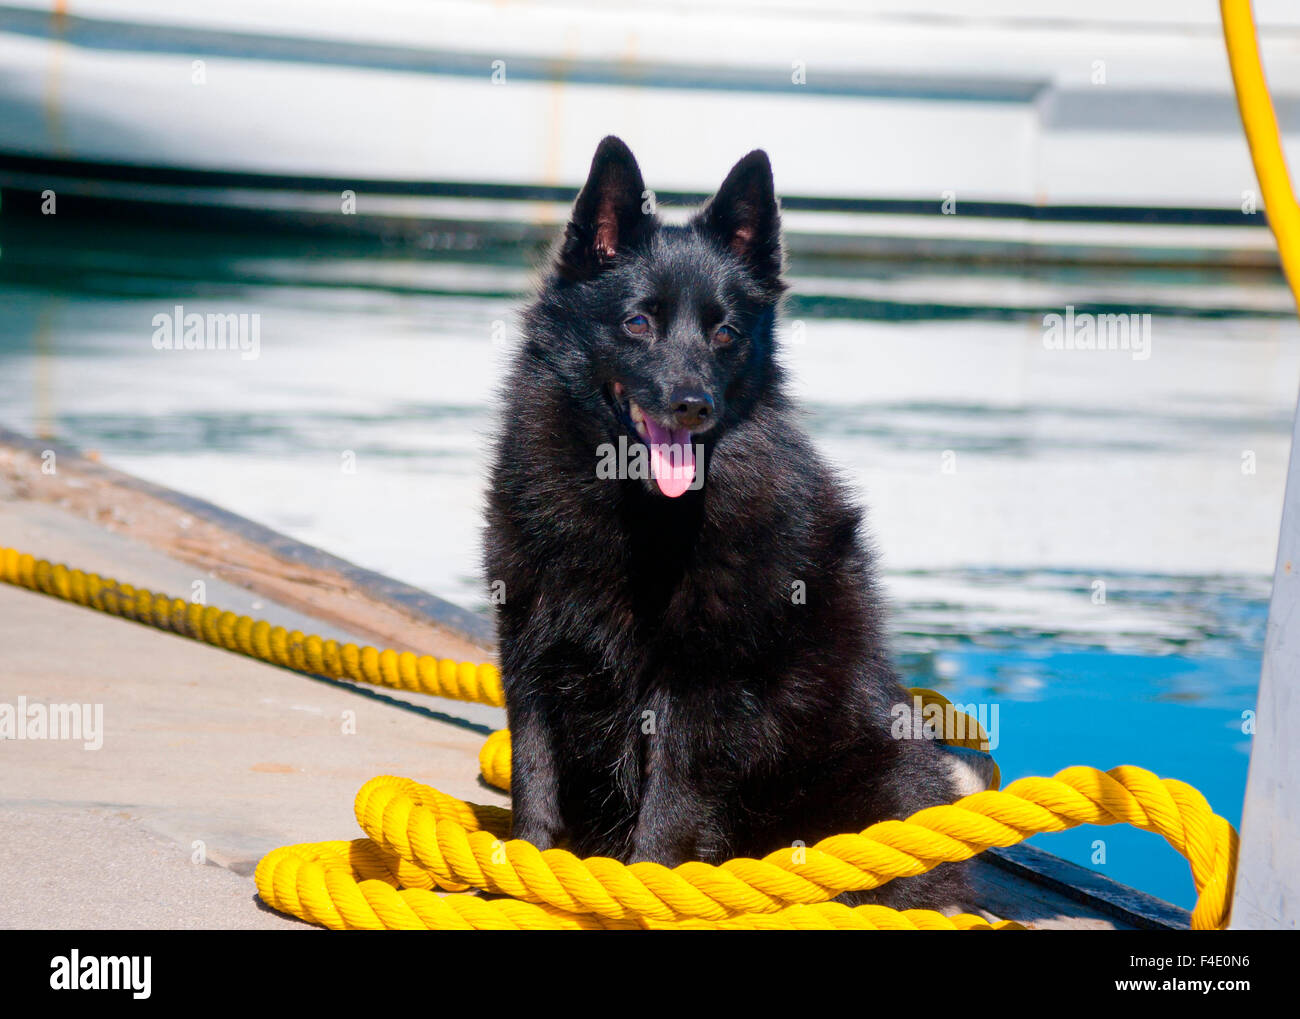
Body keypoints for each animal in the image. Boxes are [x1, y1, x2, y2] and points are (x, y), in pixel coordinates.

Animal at [486, 135, 977, 909]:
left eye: (724, 332)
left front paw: (646, 889)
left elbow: (670, 806)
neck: (640, 512)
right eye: (638, 322)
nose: (694, 404)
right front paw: (524, 878)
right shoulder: (530, 646)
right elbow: (534, 775)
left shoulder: (701, 687)